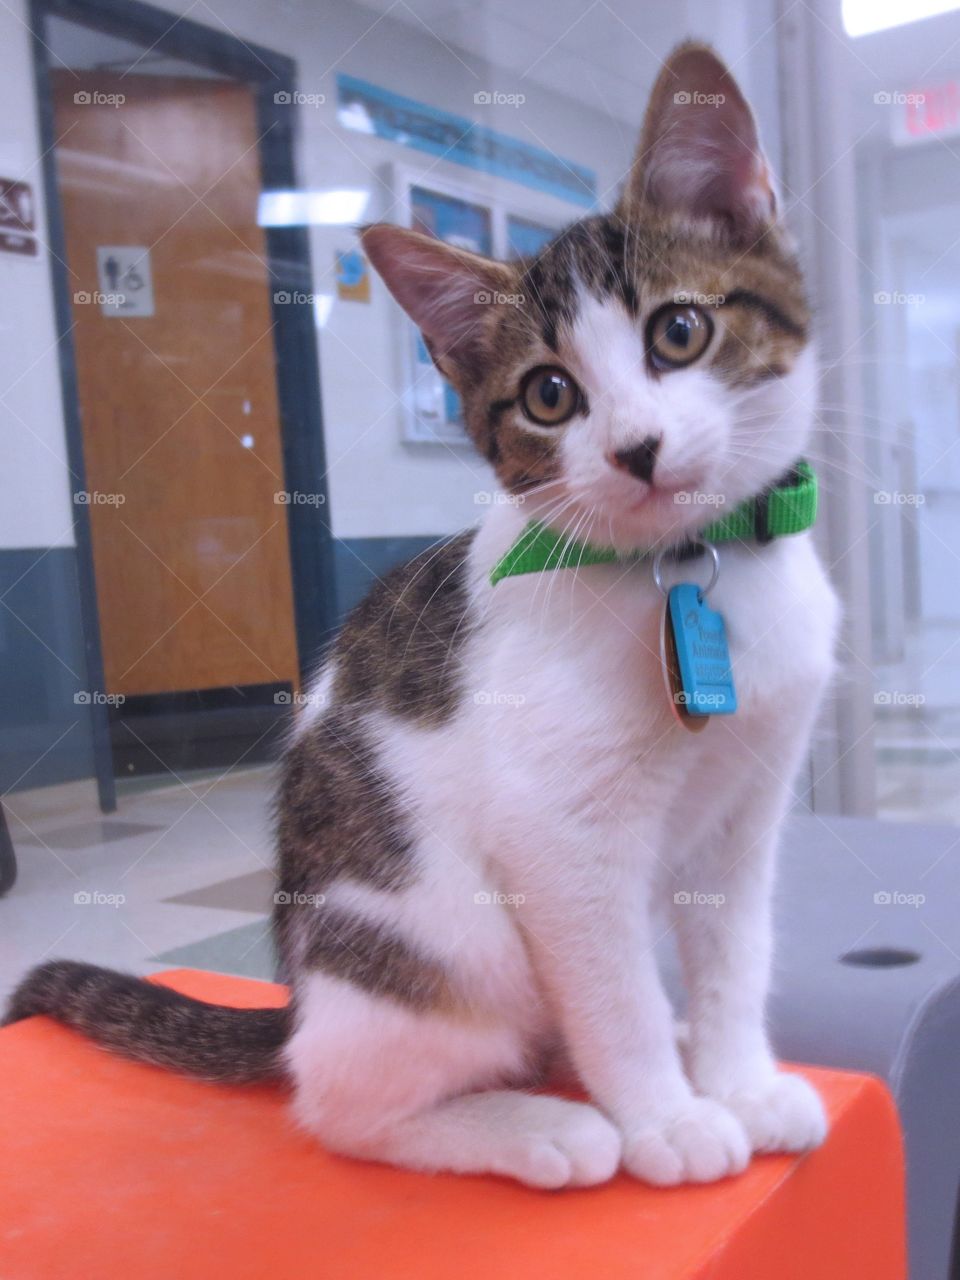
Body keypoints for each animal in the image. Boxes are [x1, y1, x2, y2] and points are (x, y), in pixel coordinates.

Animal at [5, 45, 834, 1192]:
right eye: (548, 395)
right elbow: (611, 984)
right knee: (339, 1103)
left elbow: (735, 954)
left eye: (681, 330)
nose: (636, 449)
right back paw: (535, 1126)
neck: (681, 569)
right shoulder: (558, 833)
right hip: (440, 938)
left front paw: (739, 1079)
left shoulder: (747, 809)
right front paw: (667, 1117)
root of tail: (300, 997)